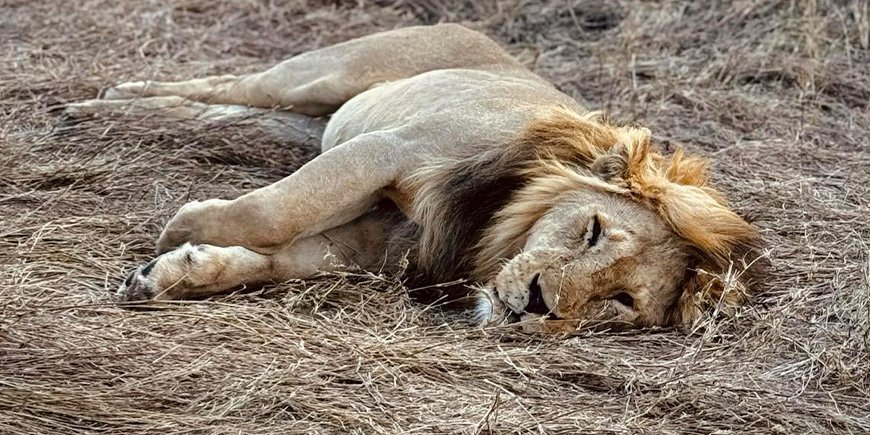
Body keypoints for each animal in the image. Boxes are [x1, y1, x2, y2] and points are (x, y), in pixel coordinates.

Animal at [66, 24, 763, 332]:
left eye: (621, 302)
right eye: (592, 230)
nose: (539, 304)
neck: (484, 237)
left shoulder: (373, 244)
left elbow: (273, 256)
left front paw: (172, 273)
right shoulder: (388, 149)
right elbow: (274, 211)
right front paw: (179, 227)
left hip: (305, 115)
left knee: (229, 112)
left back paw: (117, 111)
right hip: (322, 73)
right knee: (230, 85)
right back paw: (106, 100)